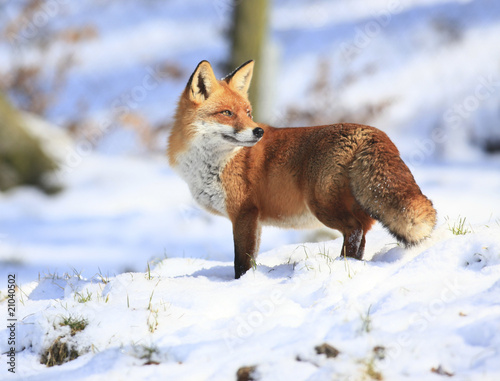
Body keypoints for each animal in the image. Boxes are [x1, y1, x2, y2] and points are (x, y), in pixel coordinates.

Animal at [167, 60, 434, 280]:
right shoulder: (255, 220)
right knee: (362, 236)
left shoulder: (244, 213)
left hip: (322, 205)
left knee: (354, 230)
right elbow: (251, 258)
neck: (215, 162)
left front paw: (241, 284)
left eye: (248, 112)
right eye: (227, 113)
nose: (258, 131)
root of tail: (370, 131)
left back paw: (341, 265)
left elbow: (241, 262)